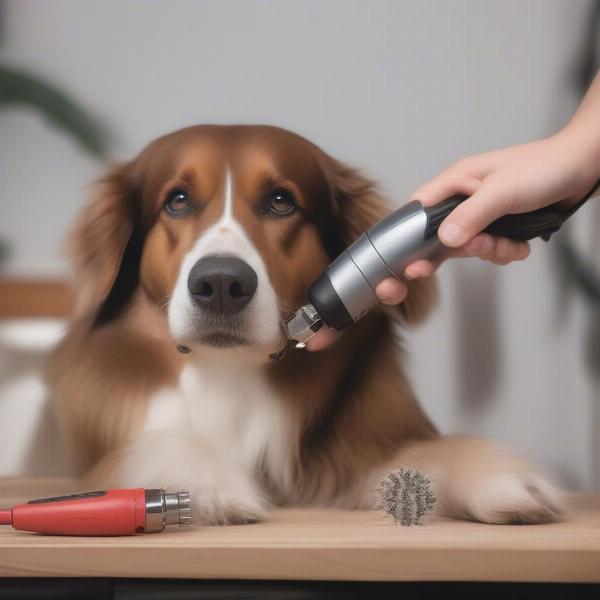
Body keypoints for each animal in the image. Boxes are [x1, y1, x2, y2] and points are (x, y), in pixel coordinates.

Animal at [48, 124, 564, 524]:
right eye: (176, 201)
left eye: (281, 201)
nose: (221, 283)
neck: (230, 372)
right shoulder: (101, 457)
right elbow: (152, 446)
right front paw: (208, 483)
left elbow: (419, 454)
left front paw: (497, 473)